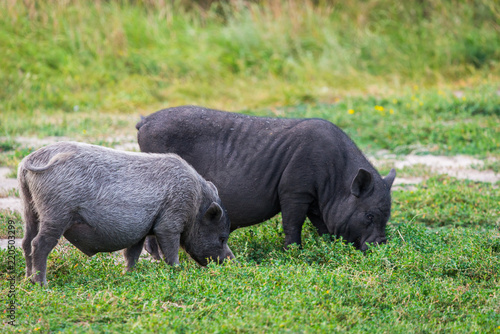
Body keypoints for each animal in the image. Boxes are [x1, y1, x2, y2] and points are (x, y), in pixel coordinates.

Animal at [17, 140, 232, 286]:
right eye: (222, 238)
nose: (232, 259)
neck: (196, 205)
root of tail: (32, 159)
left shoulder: (141, 231)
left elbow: (132, 253)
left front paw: (128, 275)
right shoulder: (170, 222)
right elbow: (170, 250)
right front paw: (177, 270)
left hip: (29, 207)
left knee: (26, 242)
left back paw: (28, 280)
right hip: (56, 213)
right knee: (39, 244)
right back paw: (42, 284)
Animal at [136, 105, 394, 254]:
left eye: (387, 216)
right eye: (370, 216)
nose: (382, 244)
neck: (336, 181)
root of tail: (144, 121)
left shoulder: (315, 202)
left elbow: (322, 226)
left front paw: (328, 246)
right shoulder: (295, 191)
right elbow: (292, 223)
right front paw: (294, 253)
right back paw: (157, 258)